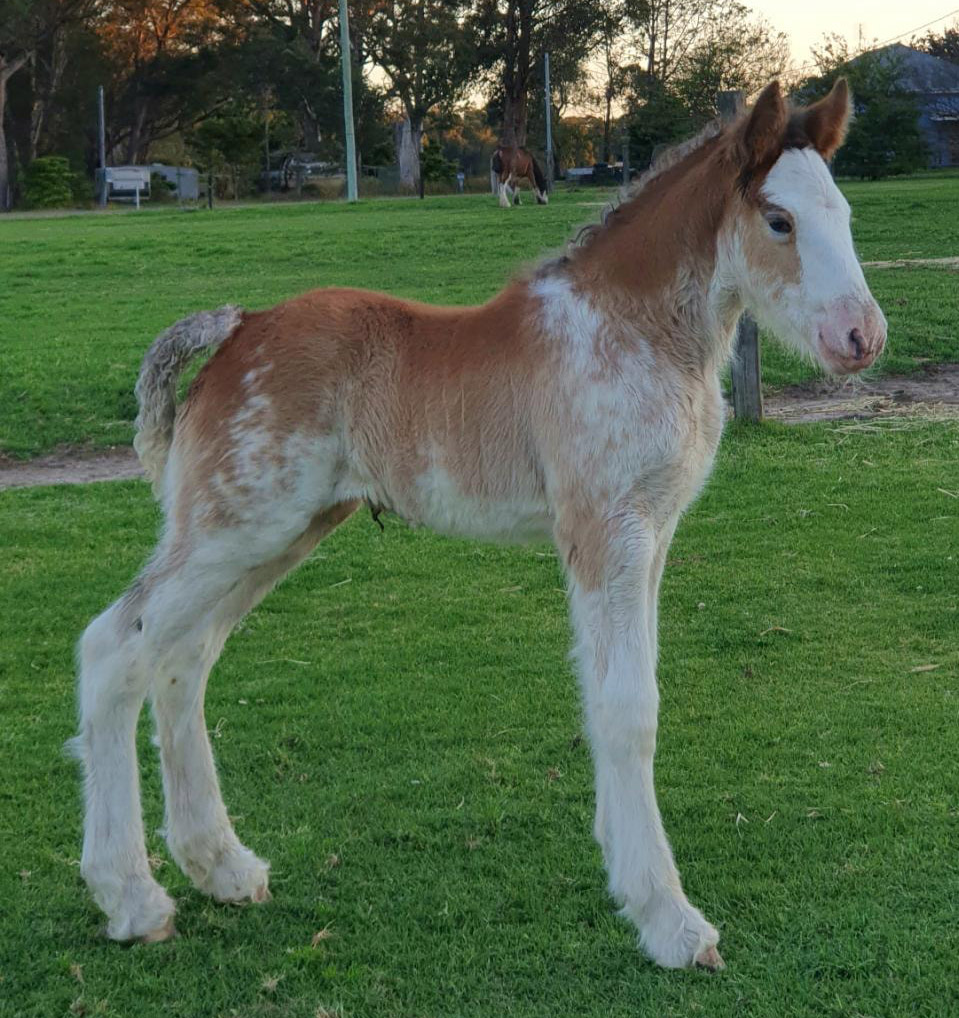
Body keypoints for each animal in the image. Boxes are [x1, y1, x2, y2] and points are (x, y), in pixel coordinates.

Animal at [73, 81, 887, 969]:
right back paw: (132, 899)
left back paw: (219, 866)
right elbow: (627, 709)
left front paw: (627, 877)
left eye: (844, 211)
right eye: (777, 220)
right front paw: (668, 920)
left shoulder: (654, 532)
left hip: (280, 532)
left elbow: (626, 694)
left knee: (182, 659)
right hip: (234, 526)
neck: (631, 331)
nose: (861, 338)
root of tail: (237, 326)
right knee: (114, 648)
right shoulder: (604, 531)